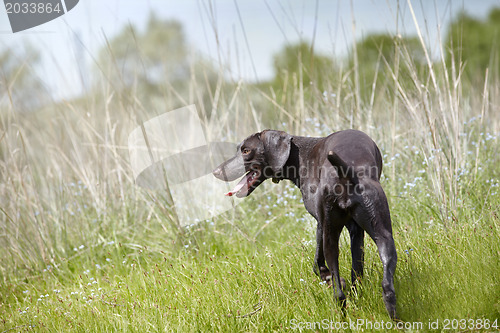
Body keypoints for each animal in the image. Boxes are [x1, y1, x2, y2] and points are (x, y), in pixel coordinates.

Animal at [212, 128, 398, 318]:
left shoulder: (321, 225)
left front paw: (335, 280)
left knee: (337, 291)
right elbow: (357, 266)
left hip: (330, 235)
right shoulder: (355, 229)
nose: (216, 171)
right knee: (387, 287)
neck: (299, 156)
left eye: (246, 151)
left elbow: (317, 264)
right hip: (383, 236)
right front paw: (356, 291)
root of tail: (346, 174)